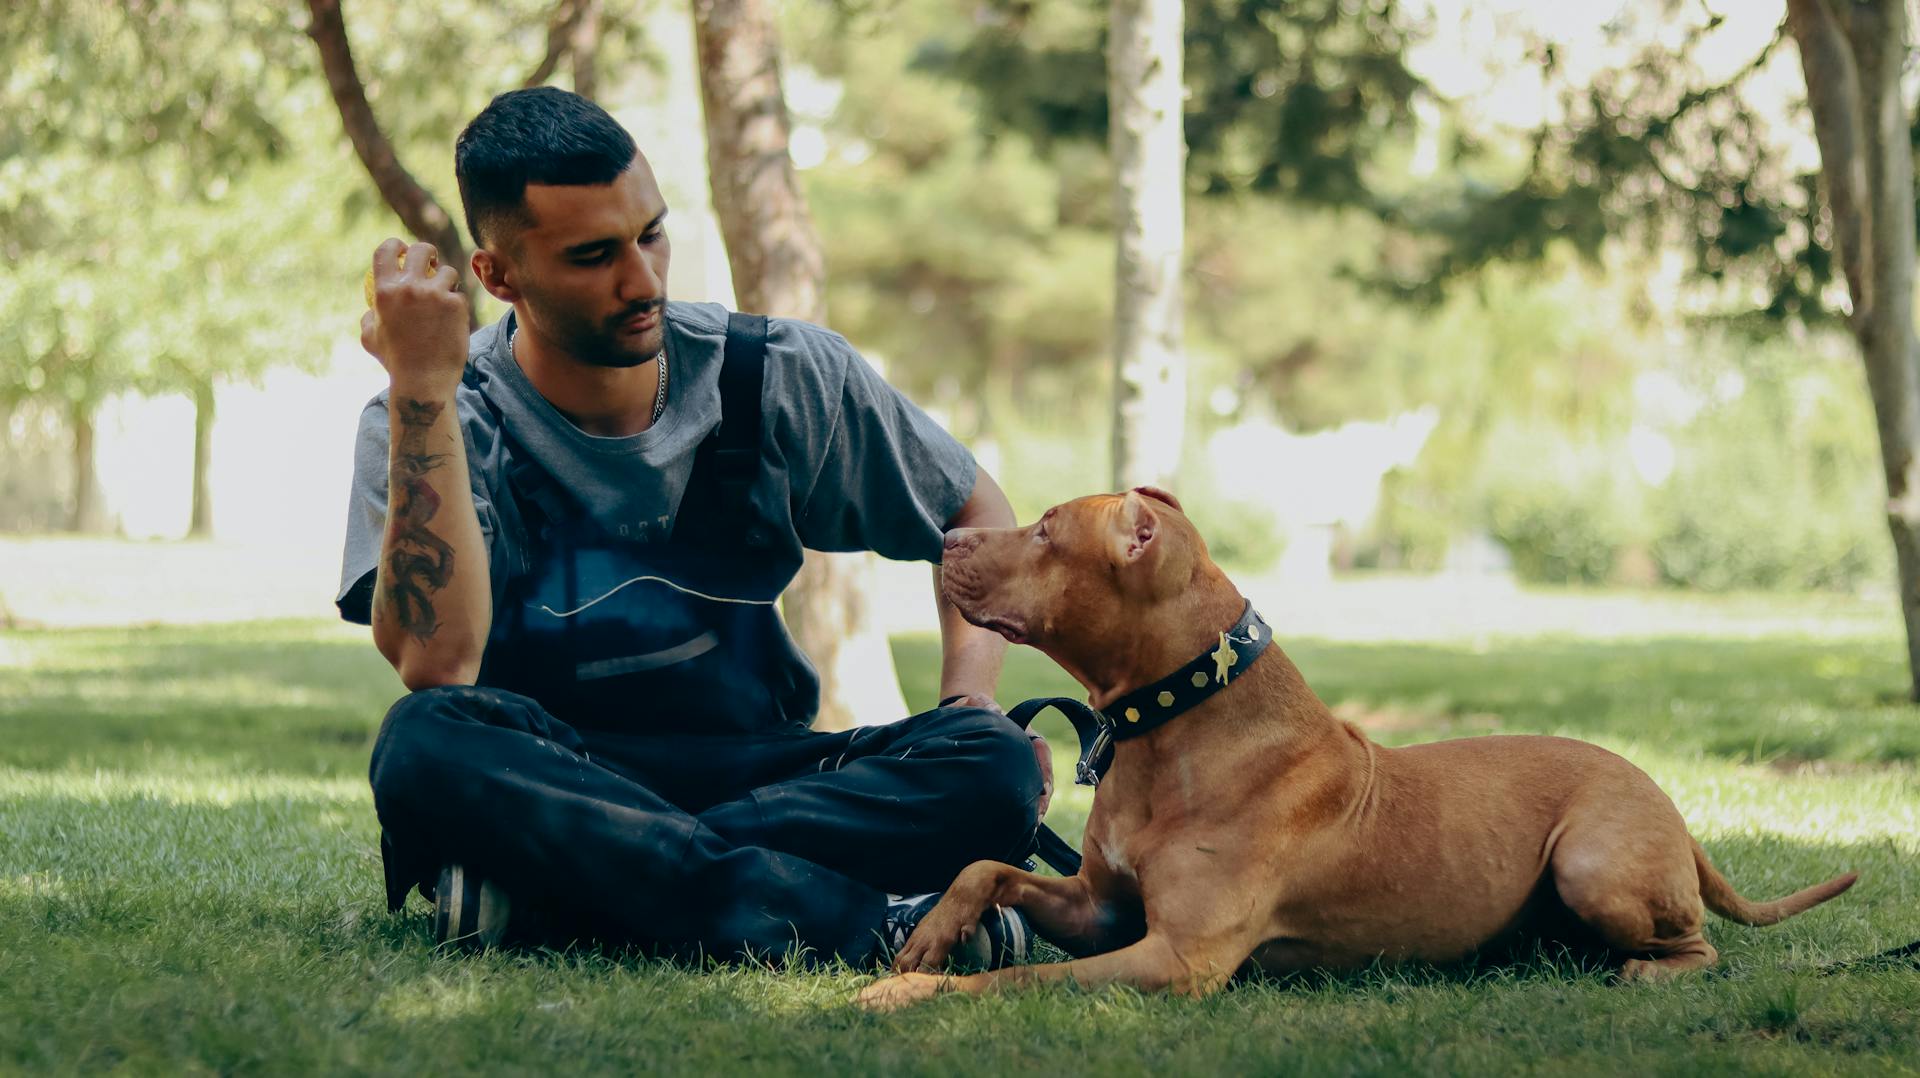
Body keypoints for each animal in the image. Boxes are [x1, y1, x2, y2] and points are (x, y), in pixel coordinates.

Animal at [860, 488, 1858, 1006]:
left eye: (1044, 530)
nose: (948, 535)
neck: (1173, 722)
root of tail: (1667, 803)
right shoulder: (1104, 909)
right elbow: (987, 865)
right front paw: (932, 939)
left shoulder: (1173, 959)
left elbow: (1014, 981)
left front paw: (911, 993)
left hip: (1594, 862)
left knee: (1698, 948)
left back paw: (1644, 972)